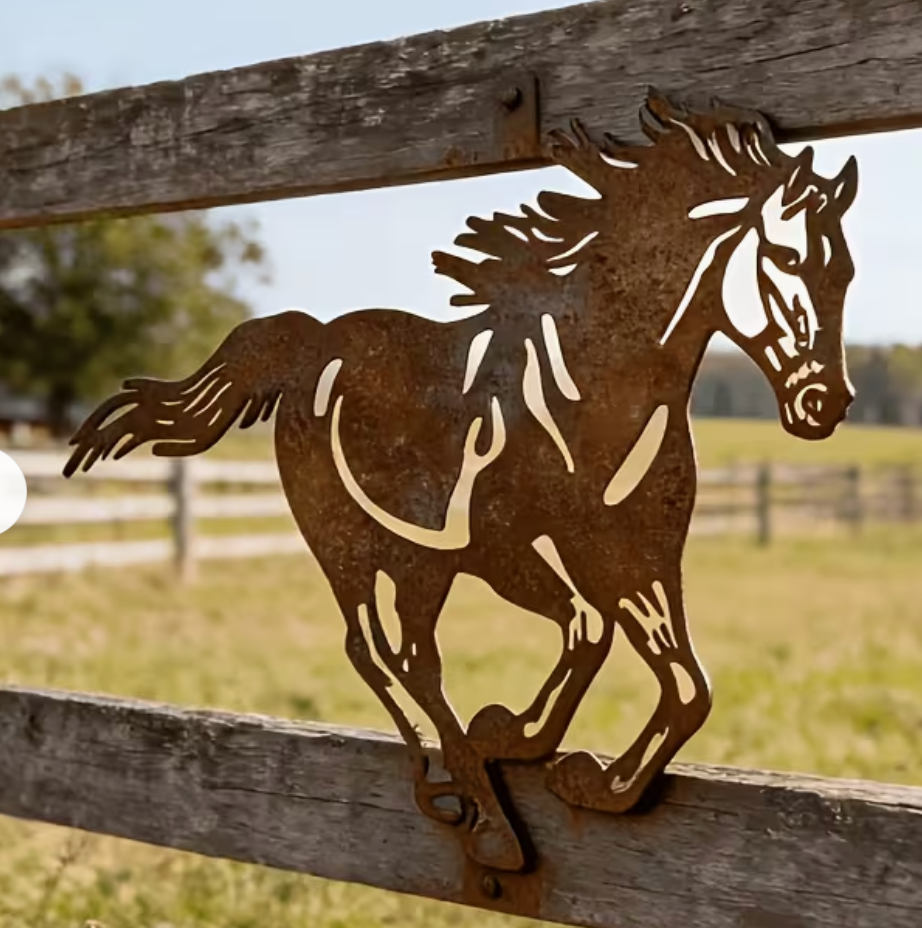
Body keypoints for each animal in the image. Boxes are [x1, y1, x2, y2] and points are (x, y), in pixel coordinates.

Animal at [65, 91, 858, 874]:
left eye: (844, 272)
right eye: (786, 255)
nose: (825, 404)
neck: (599, 384)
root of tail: (311, 340)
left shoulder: (639, 553)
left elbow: (684, 682)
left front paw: (590, 778)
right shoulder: (507, 550)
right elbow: (590, 627)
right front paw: (520, 737)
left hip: (421, 559)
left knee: (412, 654)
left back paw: (462, 790)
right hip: (348, 543)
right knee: (375, 651)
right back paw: (479, 816)